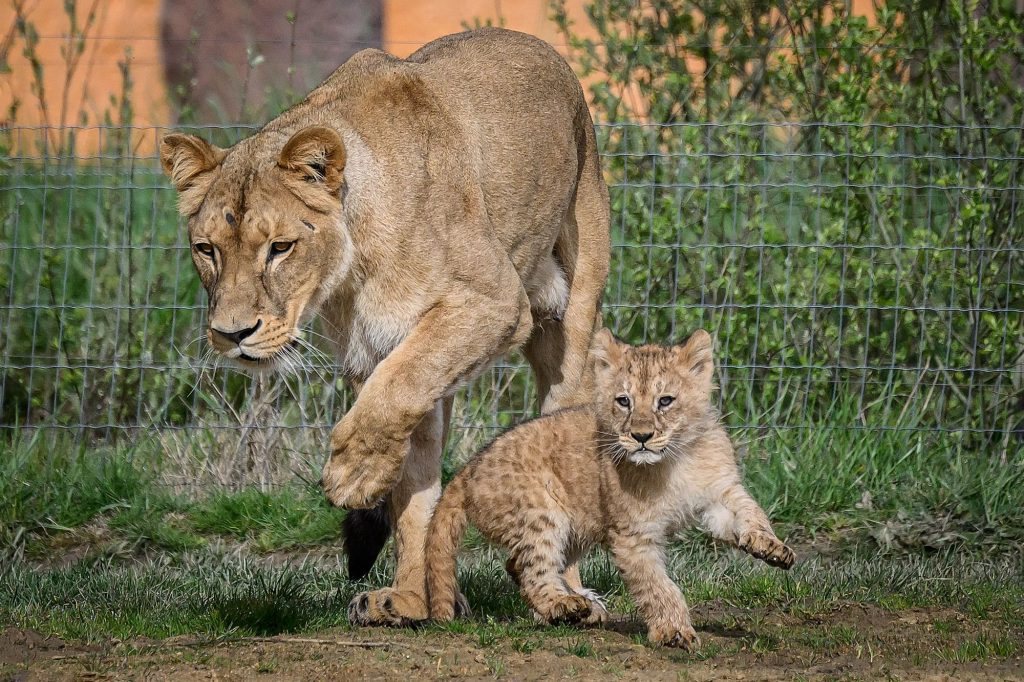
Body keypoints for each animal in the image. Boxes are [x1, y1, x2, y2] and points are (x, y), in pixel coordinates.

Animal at [159, 28, 611, 626]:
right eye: (206, 249)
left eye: (280, 248)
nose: (232, 334)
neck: (353, 264)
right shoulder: (376, 348)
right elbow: (410, 479)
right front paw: (410, 594)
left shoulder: (492, 302)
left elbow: (392, 397)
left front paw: (352, 475)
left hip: (571, 313)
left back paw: (567, 597)